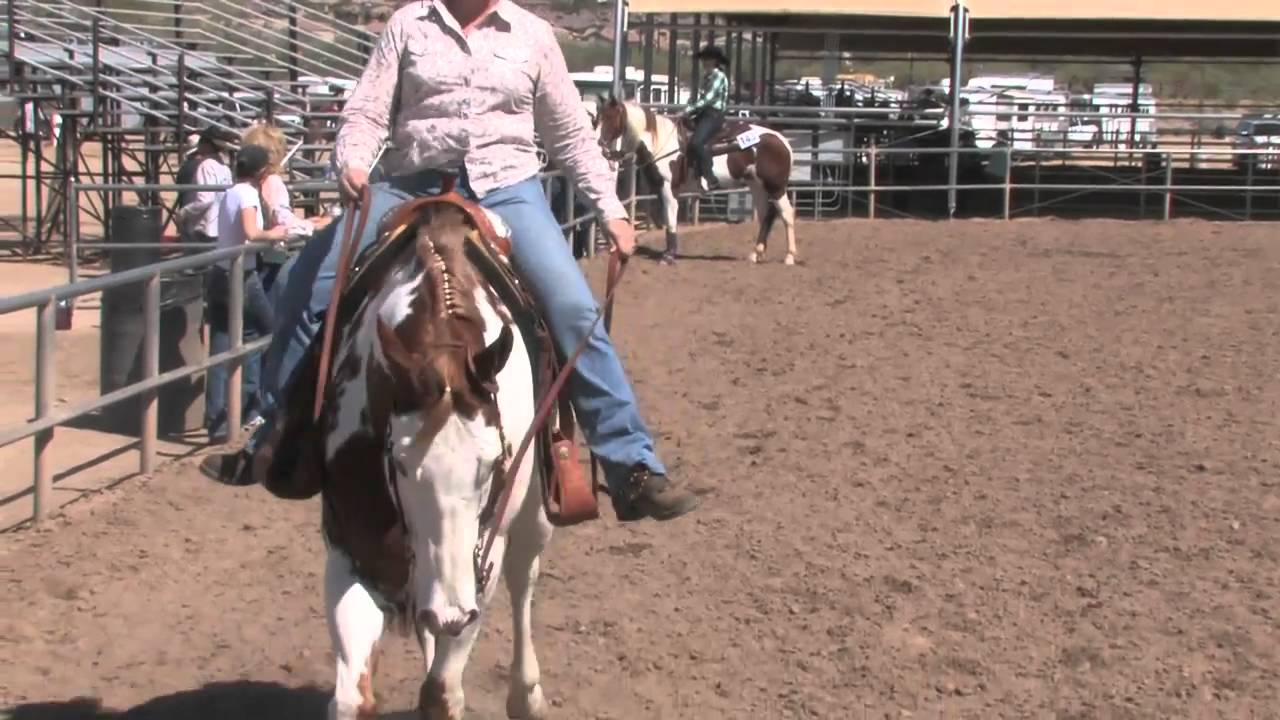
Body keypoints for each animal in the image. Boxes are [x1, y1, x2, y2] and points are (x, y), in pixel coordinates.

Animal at [303, 197, 559, 720]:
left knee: (523, 579)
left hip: (533, 517)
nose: (450, 612)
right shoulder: (349, 548)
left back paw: (526, 695)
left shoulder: (481, 562)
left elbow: (441, 692)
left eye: (492, 466)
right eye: (399, 464)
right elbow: (351, 696)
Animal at [594, 96, 798, 265]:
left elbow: (671, 221)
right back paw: (756, 254)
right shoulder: (660, 190)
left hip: (776, 187)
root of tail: (782, 140)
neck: (662, 143)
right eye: (597, 117)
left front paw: (669, 256)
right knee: (765, 215)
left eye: (611, 117)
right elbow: (667, 220)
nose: (600, 144)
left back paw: (789, 256)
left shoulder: (669, 189)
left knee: (787, 214)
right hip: (756, 185)